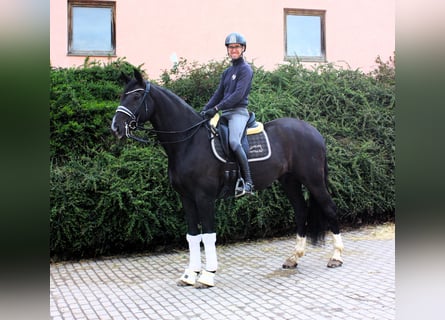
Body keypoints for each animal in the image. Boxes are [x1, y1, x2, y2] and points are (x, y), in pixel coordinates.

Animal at [112, 69, 344, 288]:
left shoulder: (204, 198)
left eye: (136, 96)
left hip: (313, 181)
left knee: (330, 209)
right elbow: (192, 236)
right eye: (122, 95)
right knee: (301, 211)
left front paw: (207, 276)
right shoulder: (187, 198)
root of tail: (313, 130)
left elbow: (208, 235)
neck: (189, 142)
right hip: (290, 182)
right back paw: (294, 258)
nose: (116, 127)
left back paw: (336, 257)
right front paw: (189, 275)